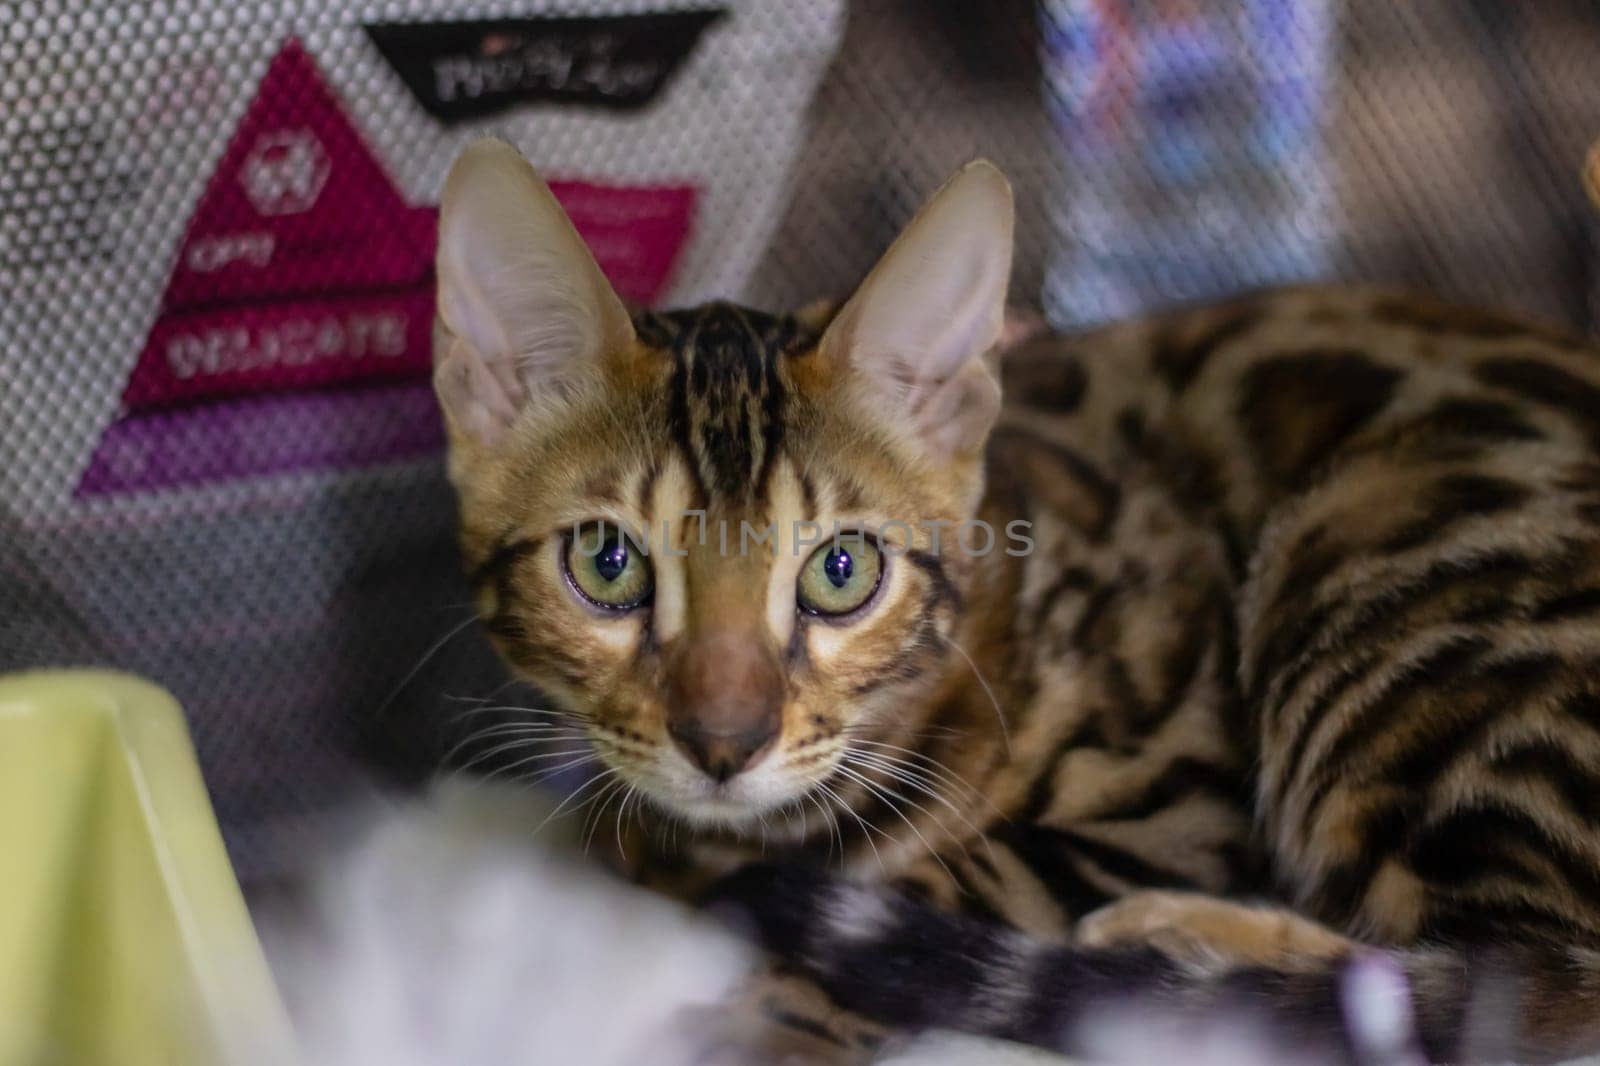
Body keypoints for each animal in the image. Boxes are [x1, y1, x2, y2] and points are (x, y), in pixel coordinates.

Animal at [438, 136, 1600, 1056]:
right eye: (609, 564)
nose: (724, 744)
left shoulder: (1174, 792)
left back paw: (1182, 945)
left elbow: (943, 880)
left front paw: (766, 1021)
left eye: (839, 572)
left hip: (1366, 552)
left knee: (1501, 977)